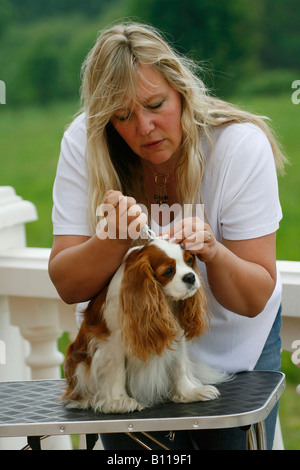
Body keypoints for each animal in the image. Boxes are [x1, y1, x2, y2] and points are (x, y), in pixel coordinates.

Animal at [62, 241, 227, 414]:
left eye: (189, 261)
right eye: (168, 271)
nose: (190, 276)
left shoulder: (177, 334)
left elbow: (179, 366)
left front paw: (188, 392)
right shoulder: (113, 343)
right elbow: (118, 372)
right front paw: (120, 401)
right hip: (80, 364)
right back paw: (86, 399)